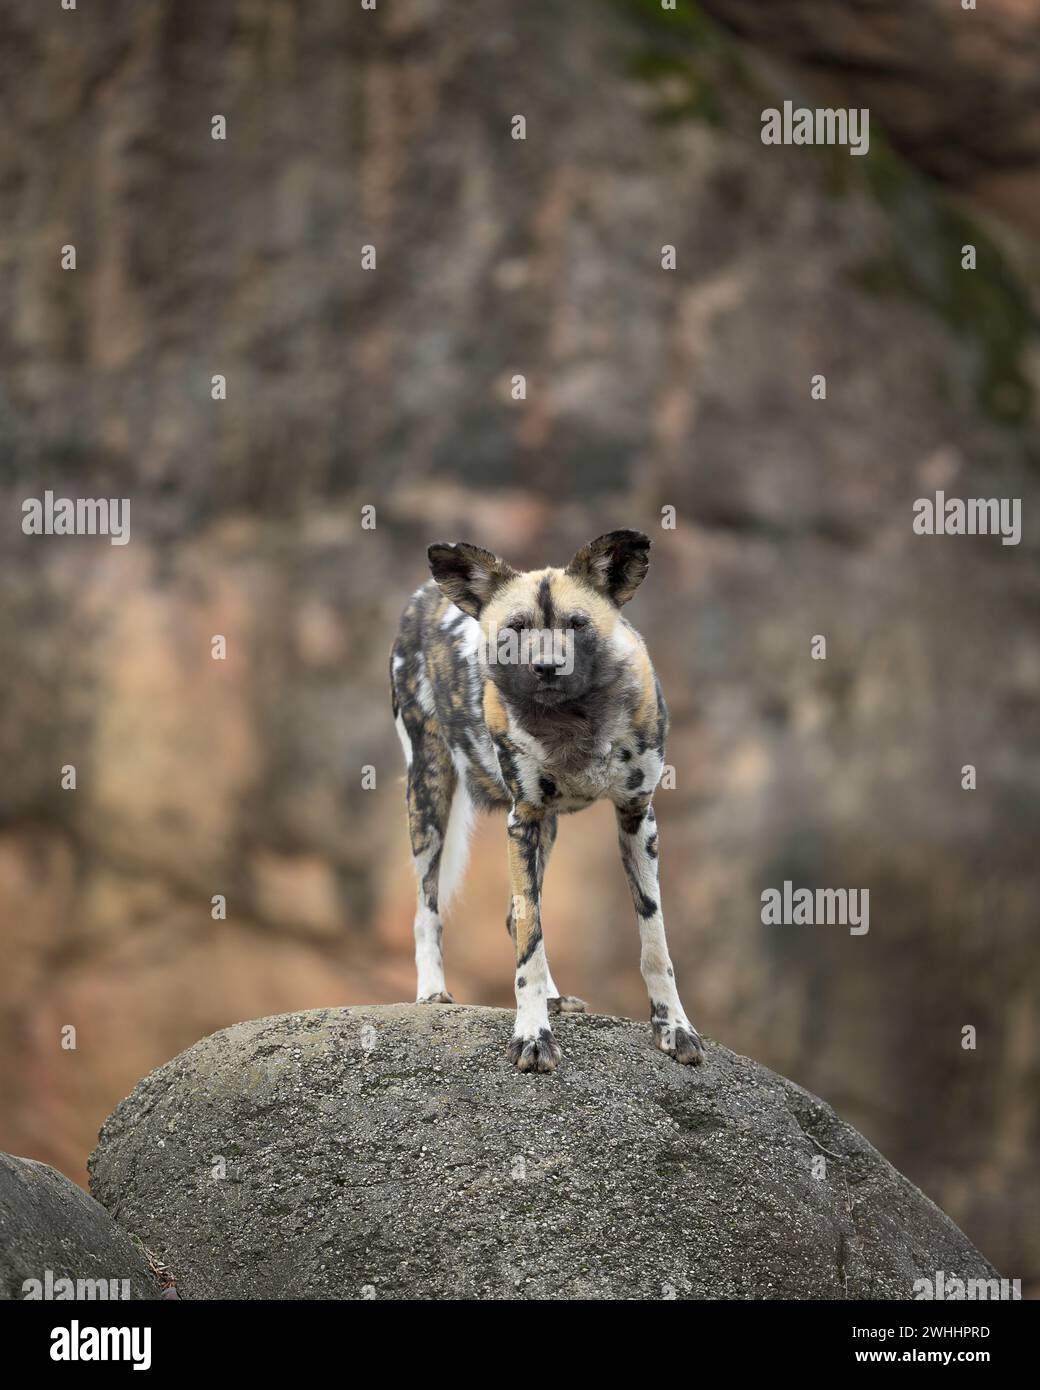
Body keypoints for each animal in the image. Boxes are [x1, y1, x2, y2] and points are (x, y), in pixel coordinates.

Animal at [392, 528, 706, 1073]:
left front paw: (673, 1027)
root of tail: (424, 593)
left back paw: (556, 997)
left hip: (547, 829)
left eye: (577, 626)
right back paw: (432, 992)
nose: (547, 667)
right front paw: (533, 1035)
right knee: (429, 910)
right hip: (429, 795)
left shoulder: (636, 818)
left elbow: (654, 941)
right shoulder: (523, 821)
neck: (573, 722)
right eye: (516, 630)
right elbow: (530, 948)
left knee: (514, 914)